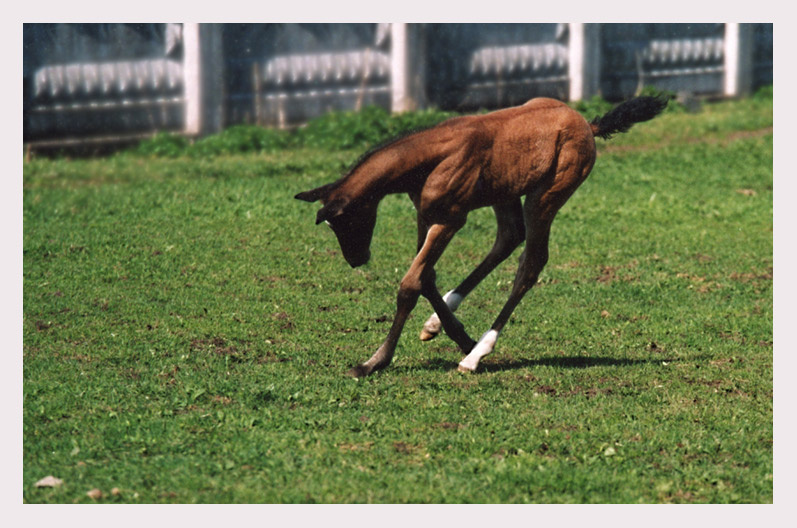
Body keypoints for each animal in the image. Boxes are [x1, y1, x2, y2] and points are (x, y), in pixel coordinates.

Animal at [296, 96, 669, 377]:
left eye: (346, 221)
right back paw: (449, 329)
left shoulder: (450, 220)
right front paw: (452, 332)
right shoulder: (425, 215)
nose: (356, 259)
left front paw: (373, 362)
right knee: (509, 238)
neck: (432, 158)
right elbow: (426, 276)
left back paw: (476, 355)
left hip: (546, 197)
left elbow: (411, 284)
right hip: (506, 191)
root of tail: (587, 125)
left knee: (530, 264)